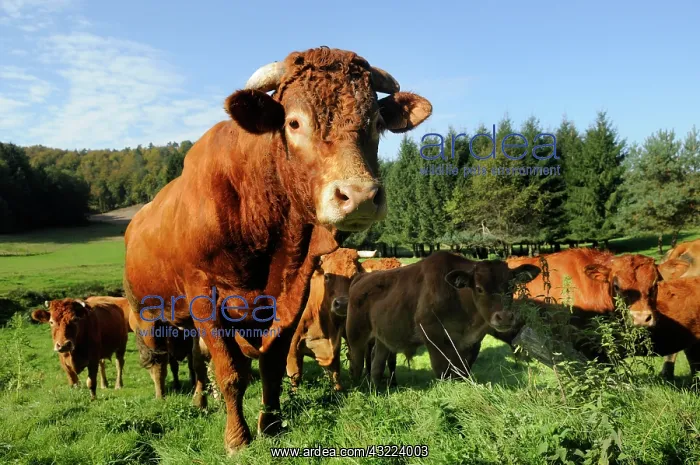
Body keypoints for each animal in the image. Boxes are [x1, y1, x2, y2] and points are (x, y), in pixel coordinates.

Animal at [123, 47, 431, 454]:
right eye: (294, 123)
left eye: (377, 122)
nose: (361, 196)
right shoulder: (203, 295)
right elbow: (231, 371)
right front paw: (237, 438)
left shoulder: (292, 293)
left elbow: (272, 364)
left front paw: (270, 424)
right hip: (147, 315)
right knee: (160, 359)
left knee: (193, 361)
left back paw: (200, 400)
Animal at [345, 251, 540, 386]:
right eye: (479, 288)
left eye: (512, 286)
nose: (505, 317)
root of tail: (361, 277)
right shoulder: (433, 335)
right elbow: (442, 371)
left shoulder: (472, 343)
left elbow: (463, 372)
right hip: (356, 336)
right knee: (356, 363)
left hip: (383, 339)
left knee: (377, 364)